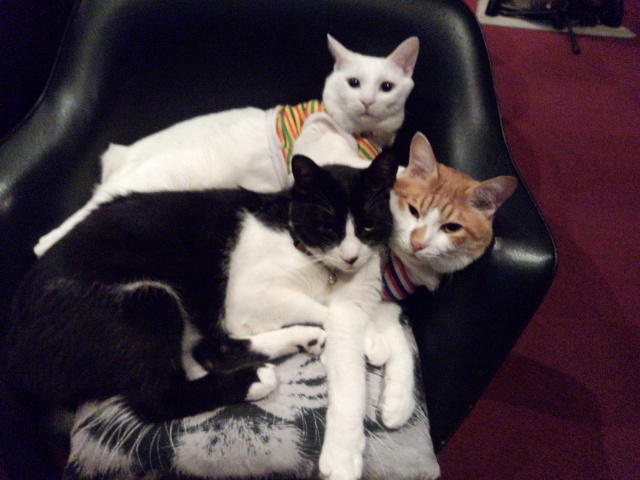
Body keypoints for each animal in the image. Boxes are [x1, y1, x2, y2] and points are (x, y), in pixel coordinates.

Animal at [5, 152, 398, 424]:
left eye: (368, 226)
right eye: (328, 226)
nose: (351, 257)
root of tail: (18, 355)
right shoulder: (244, 298)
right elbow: (328, 309)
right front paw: (372, 338)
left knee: (209, 350)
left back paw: (301, 338)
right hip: (145, 300)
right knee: (159, 396)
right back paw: (255, 378)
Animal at [33, 34, 419, 257]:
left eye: (386, 87)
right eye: (353, 83)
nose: (367, 101)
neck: (365, 135)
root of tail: (125, 154)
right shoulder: (316, 144)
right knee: (65, 226)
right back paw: (46, 243)